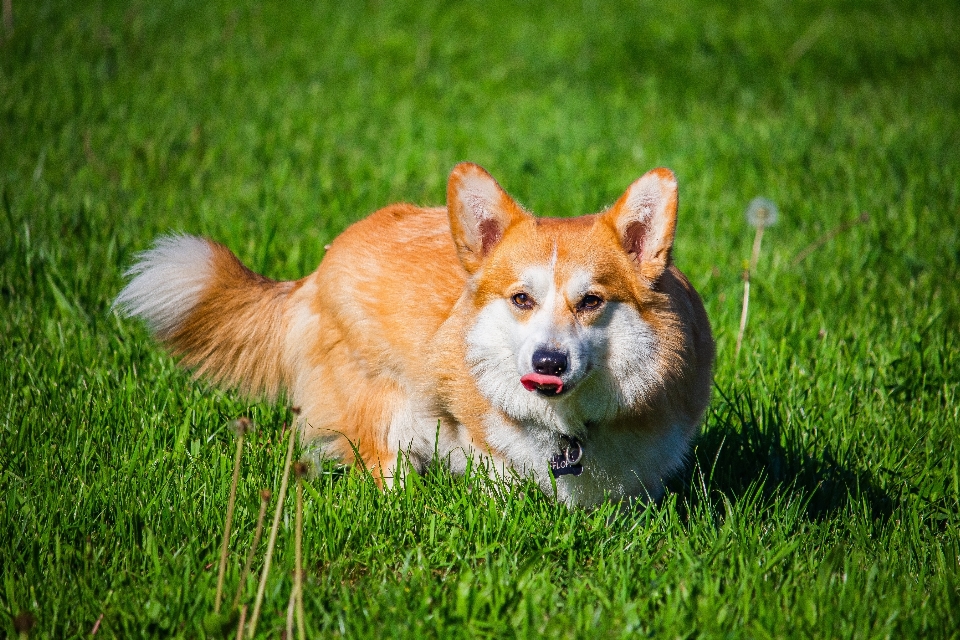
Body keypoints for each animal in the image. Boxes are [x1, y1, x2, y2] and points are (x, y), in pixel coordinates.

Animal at [114, 164, 712, 504]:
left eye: (591, 302)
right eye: (521, 299)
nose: (548, 363)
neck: (569, 429)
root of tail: (319, 268)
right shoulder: (477, 438)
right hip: (384, 413)